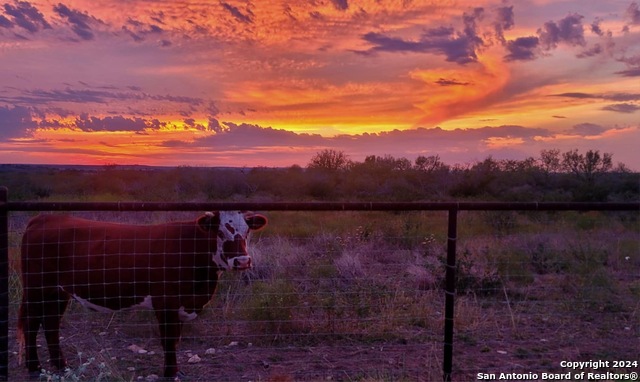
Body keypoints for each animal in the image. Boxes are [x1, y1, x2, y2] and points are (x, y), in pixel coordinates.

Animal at [17, 210, 268, 380]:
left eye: (247, 231)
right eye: (220, 232)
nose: (242, 261)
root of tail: (43, 218)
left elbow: (175, 339)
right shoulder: (165, 303)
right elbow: (169, 339)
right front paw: (170, 372)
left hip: (57, 293)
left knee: (50, 324)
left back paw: (61, 365)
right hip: (37, 288)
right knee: (32, 324)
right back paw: (34, 367)